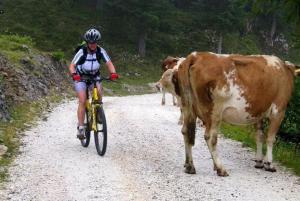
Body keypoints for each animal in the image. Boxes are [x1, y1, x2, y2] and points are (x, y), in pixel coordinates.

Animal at [166, 51, 298, 176]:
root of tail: (195, 56)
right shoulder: (279, 110)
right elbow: (270, 138)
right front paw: (269, 164)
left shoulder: (258, 113)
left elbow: (259, 136)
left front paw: (259, 162)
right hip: (215, 111)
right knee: (210, 137)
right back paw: (220, 168)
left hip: (187, 107)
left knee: (186, 131)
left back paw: (190, 166)